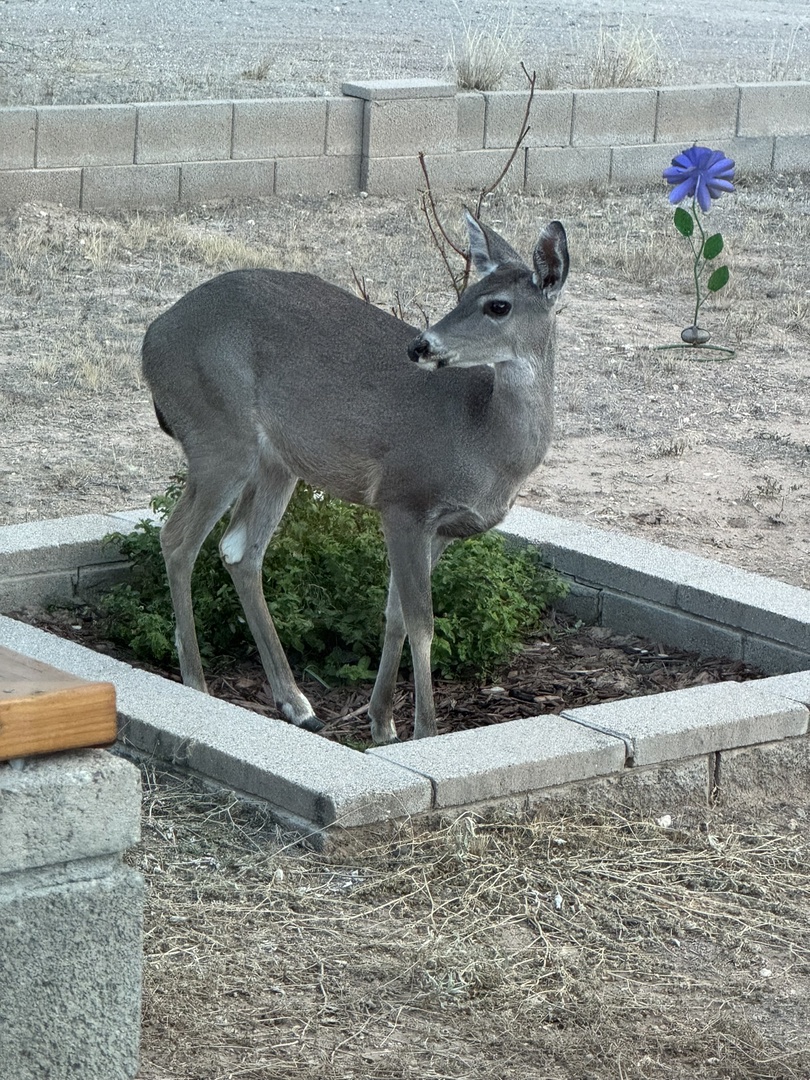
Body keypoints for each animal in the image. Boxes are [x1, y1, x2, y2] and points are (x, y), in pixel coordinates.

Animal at [141, 211, 569, 744]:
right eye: (464, 294)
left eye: (497, 305)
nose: (420, 345)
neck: (483, 440)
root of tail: (150, 340)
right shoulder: (403, 500)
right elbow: (422, 622)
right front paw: (425, 732)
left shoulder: (443, 530)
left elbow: (396, 615)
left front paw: (382, 722)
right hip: (218, 436)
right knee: (179, 539)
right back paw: (198, 684)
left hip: (277, 463)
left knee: (239, 550)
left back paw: (298, 704)